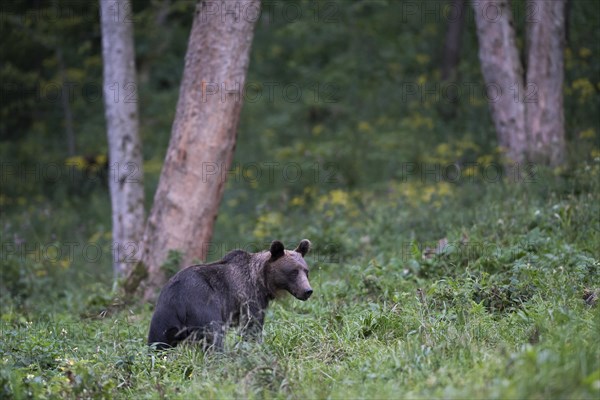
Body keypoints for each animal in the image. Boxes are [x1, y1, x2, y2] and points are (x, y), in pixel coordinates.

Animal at [148, 239, 312, 348]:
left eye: (306, 271)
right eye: (293, 272)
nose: (307, 291)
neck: (262, 282)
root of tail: (179, 297)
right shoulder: (249, 297)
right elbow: (252, 326)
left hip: (165, 313)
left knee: (158, 341)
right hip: (201, 303)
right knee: (213, 336)